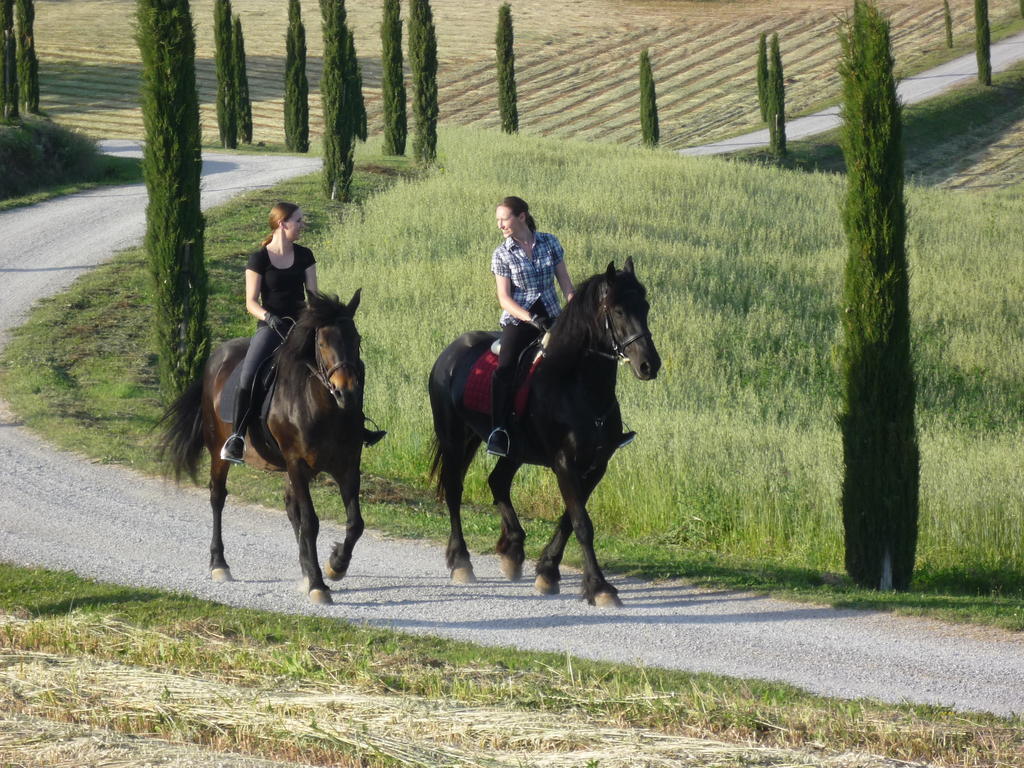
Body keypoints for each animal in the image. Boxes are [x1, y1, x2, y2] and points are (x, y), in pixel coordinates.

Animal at [157, 290, 366, 606]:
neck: (324, 407)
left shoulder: (347, 464)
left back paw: (305, 568)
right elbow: (310, 521)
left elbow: (355, 523)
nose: (347, 393)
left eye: (356, 339)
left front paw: (335, 565)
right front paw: (318, 584)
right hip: (219, 451)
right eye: (321, 342)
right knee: (217, 497)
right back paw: (219, 565)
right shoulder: (297, 463)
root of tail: (217, 355)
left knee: (291, 508)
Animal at [425, 259, 659, 606]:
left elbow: (569, 519)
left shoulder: (596, 465)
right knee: (454, 490)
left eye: (644, 307)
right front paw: (599, 587)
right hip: (455, 437)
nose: (649, 365)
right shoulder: (564, 463)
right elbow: (582, 523)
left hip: (513, 450)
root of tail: (449, 354)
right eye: (617, 311)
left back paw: (512, 550)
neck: (576, 387)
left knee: (497, 481)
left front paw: (548, 571)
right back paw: (462, 562)